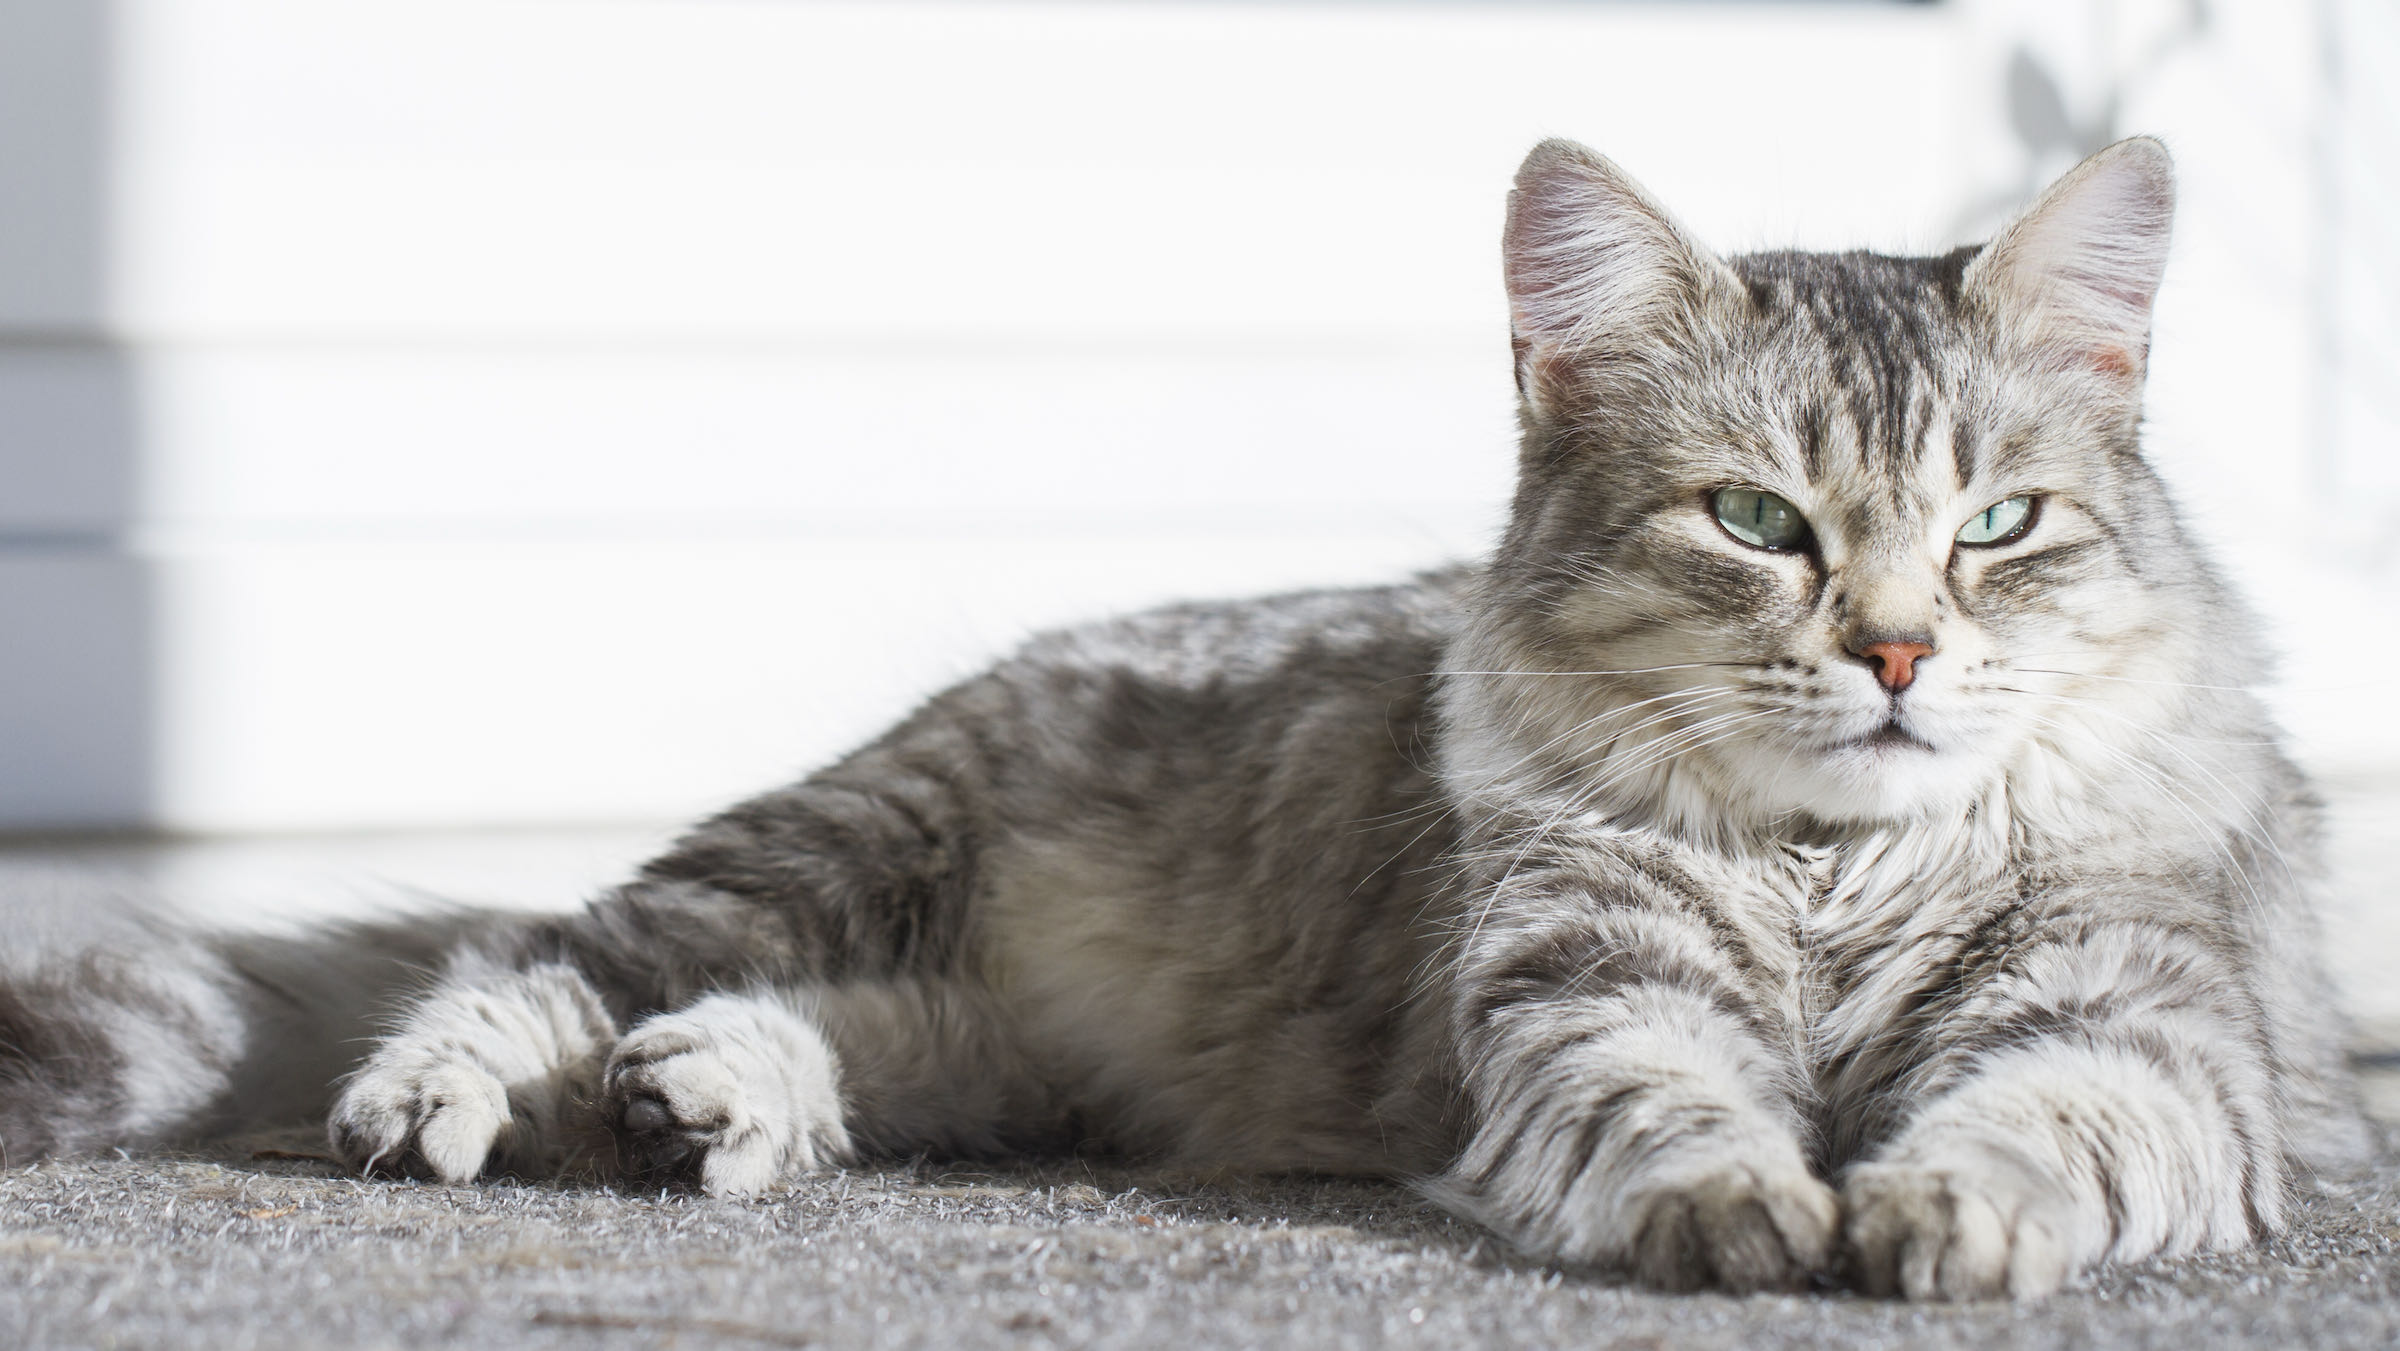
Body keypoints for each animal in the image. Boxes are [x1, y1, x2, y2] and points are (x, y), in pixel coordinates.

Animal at [0, 134, 2361, 1295]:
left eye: (2002, 525)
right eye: (1760, 521)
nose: (1893, 652)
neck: (1830, 876)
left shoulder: (2136, 1028)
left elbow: (2025, 1129)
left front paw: (1931, 1222)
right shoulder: (1583, 997)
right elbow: (1679, 1112)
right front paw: (1760, 1214)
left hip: (985, 1032)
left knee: (809, 1043)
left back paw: (707, 1107)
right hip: (821, 860)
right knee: (538, 954)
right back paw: (455, 1095)